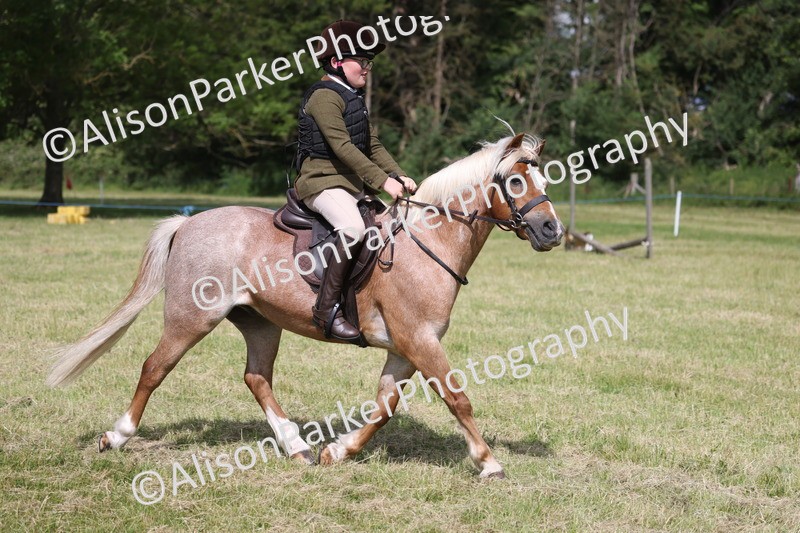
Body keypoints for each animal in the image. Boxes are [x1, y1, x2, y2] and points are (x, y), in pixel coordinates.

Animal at [46, 132, 564, 478]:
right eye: (514, 181)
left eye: (541, 176)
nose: (552, 231)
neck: (427, 242)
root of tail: (188, 224)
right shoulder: (419, 341)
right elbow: (457, 397)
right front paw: (489, 462)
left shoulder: (406, 348)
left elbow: (384, 407)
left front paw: (338, 451)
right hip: (191, 318)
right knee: (155, 367)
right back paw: (117, 435)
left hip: (260, 323)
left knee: (257, 377)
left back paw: (296, 445)